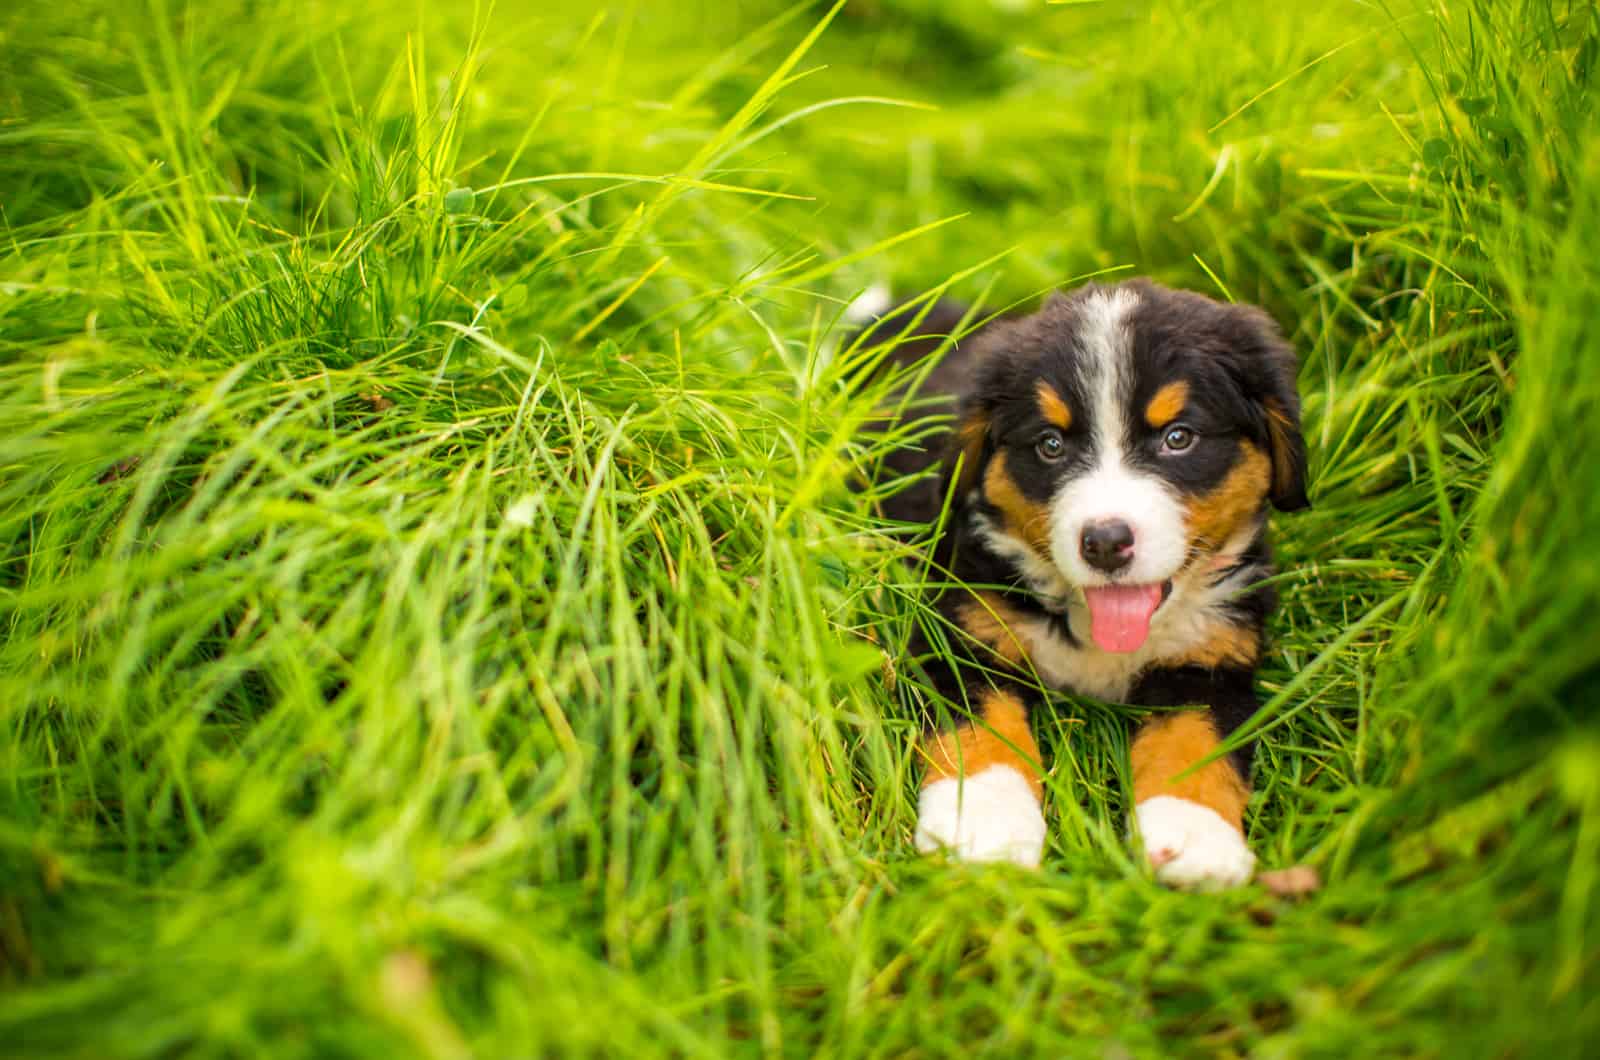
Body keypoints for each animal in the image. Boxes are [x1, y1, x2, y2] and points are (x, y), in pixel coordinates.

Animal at [870, 280, 1305, 890]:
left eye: (1179, 438)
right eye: (1050, 445)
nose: (1104, 541)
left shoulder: (1213, 660)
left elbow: (1195, 744)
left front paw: (1193, 838)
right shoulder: (960, 637)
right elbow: (980, 732)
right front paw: (981, 826)